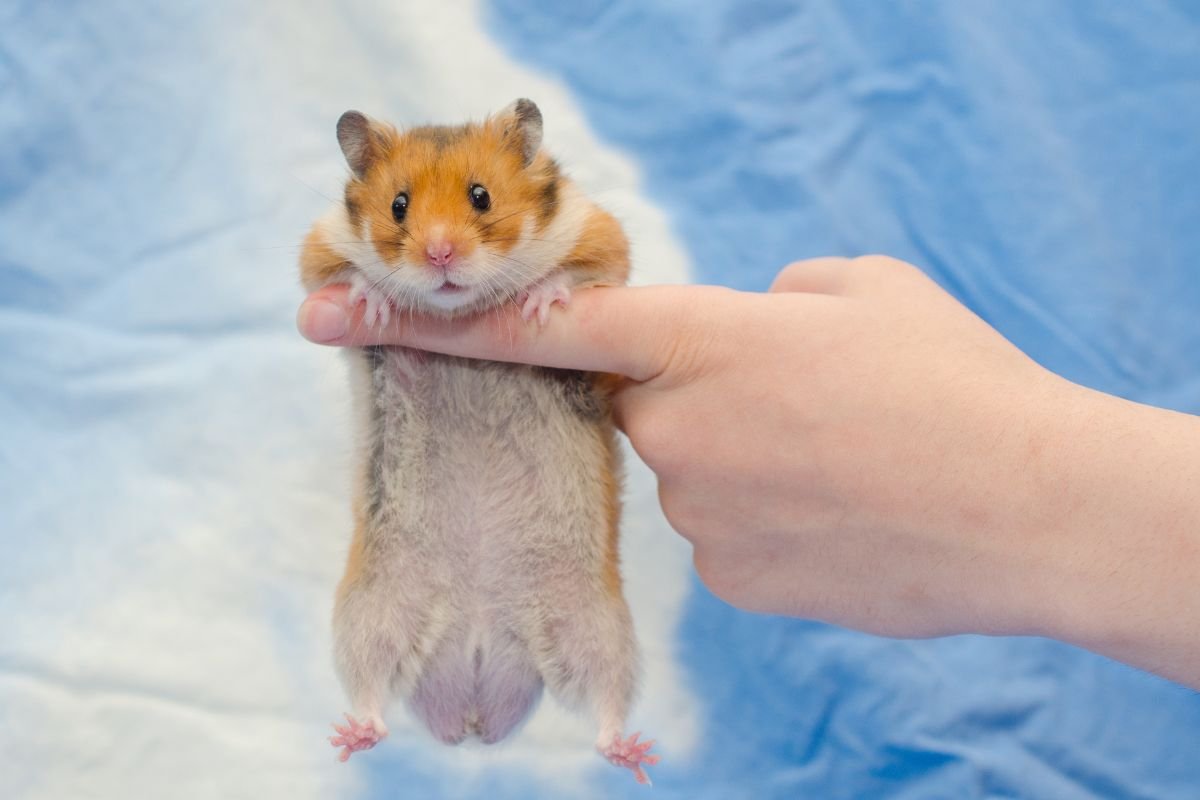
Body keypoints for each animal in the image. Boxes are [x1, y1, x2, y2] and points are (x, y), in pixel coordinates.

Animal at [299, 100, 659, 784]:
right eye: (399, 205)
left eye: (481, 195)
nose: (439, 255)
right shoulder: (318, 248)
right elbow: (339, 276)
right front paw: (374, 301)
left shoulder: (599, 236)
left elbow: (585, 270)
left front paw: (539, 302)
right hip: (371, 611)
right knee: (371, 687)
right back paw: (353, 737)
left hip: (596, 627)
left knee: (604, 702)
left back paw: (632, 754)